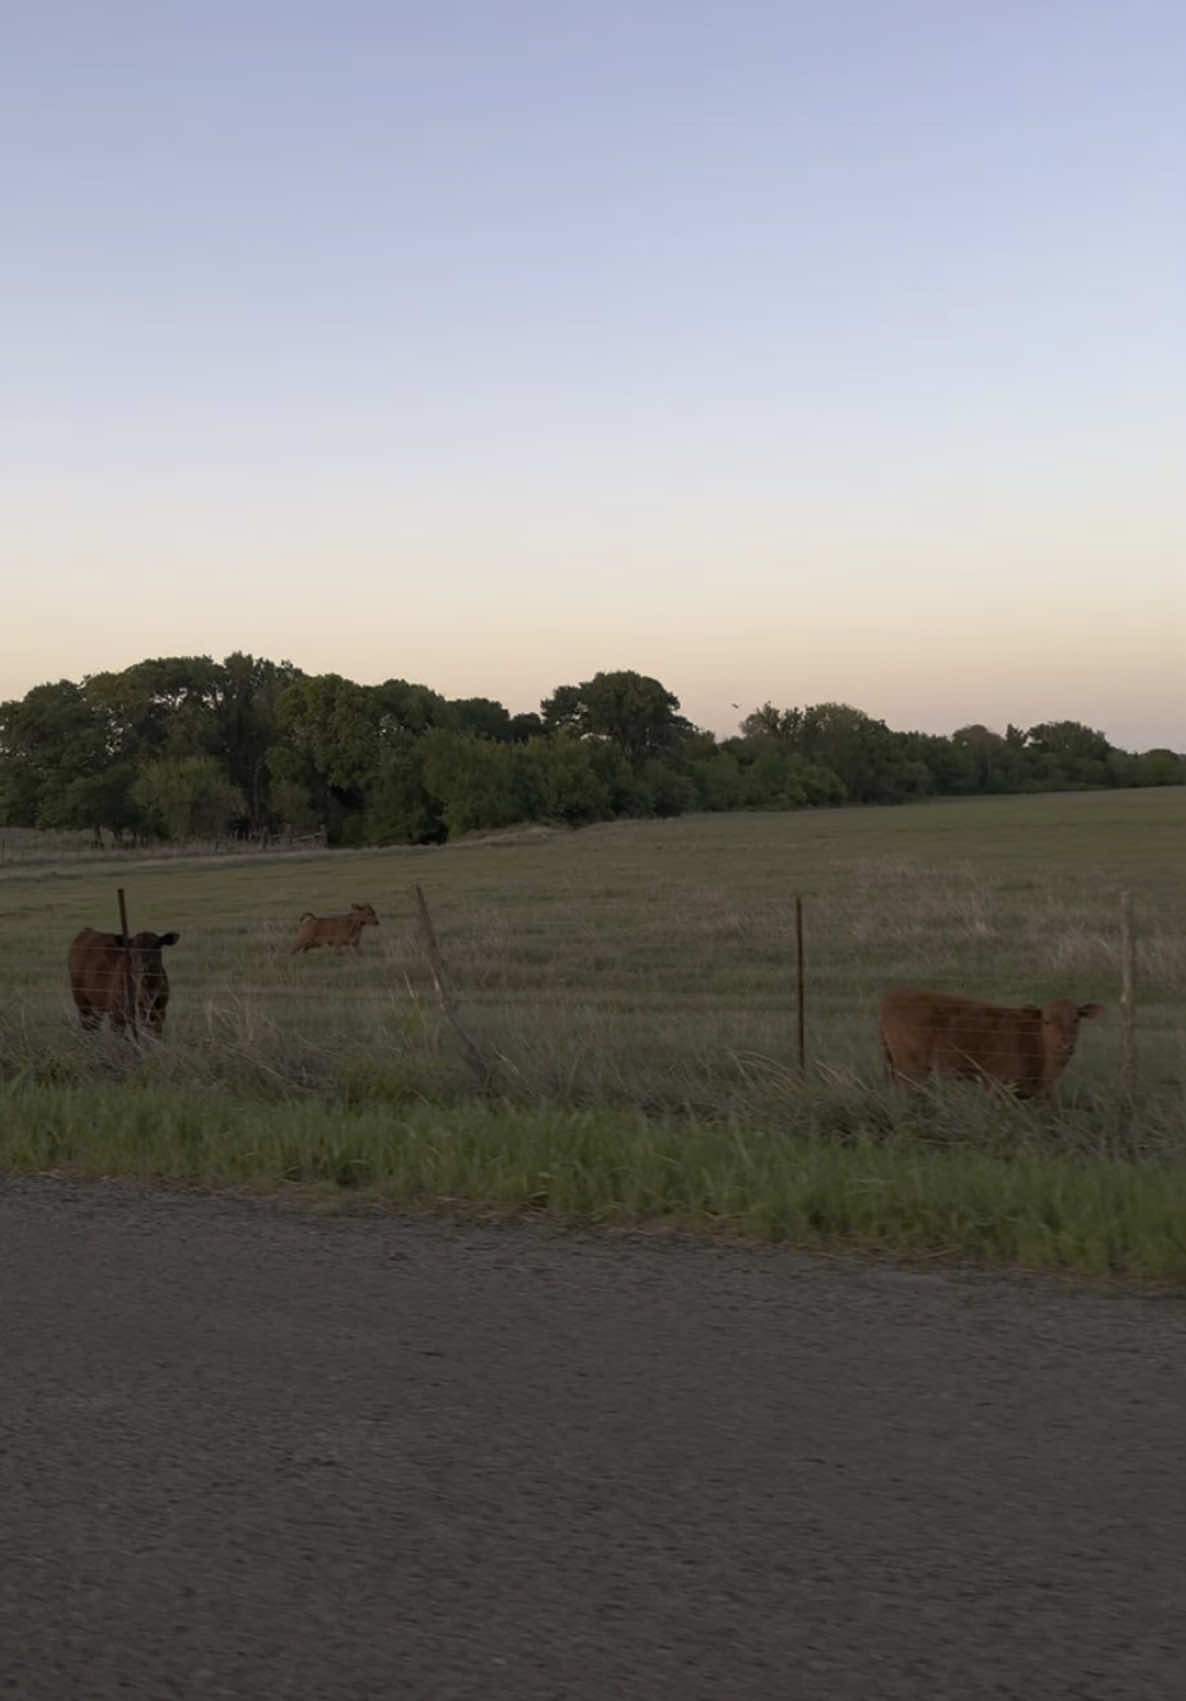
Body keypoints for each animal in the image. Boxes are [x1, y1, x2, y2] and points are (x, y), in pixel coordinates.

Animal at [879, 986, 1105, 1099]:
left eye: (1076, 1019)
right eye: (1047, 1021)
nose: (1066, 1044)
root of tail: (893, 995)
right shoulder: (996, 1085)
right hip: (912, 1069)